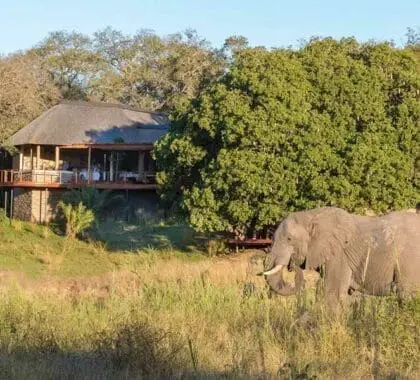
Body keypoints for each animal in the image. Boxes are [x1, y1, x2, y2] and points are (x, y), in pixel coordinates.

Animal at [262, 206, 420, 308]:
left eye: (289, 239)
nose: (292, 266)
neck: (311, 215)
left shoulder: (338, 255)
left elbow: (334, 294)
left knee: (407, 296)